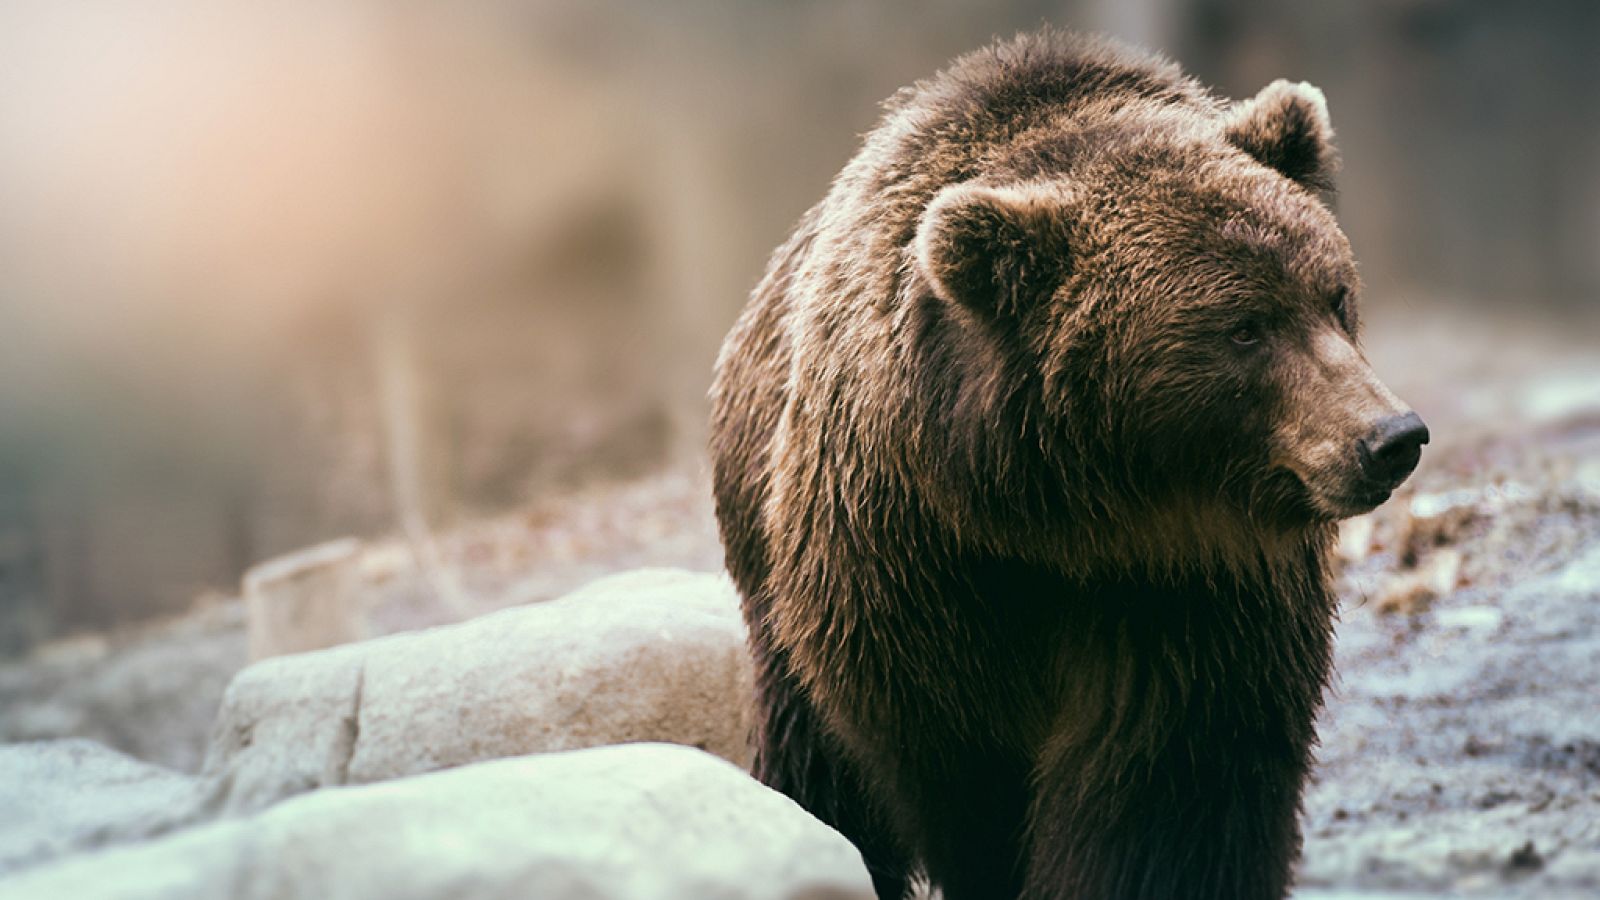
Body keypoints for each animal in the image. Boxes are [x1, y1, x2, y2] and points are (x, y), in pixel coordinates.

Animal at [709, 30, 1426, 900]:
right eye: (1243, 328)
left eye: (1334, 295)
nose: (1390, 436)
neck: (1071, 521)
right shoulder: (910, 570)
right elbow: (959, 768)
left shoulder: (1196, 600)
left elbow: (1171, 789)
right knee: (814, 756)